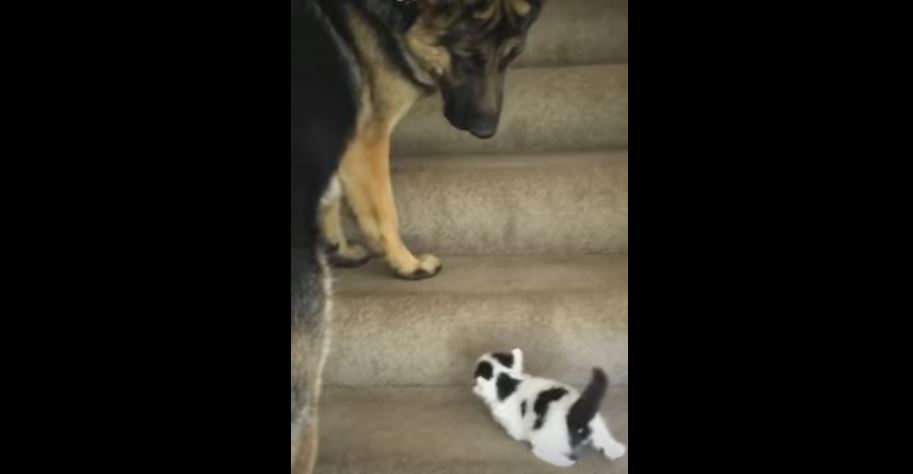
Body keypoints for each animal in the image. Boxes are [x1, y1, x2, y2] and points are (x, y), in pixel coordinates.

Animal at [290, 0, 540, 470]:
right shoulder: (368, 137)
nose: (486, 132)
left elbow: (332, 195)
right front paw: (407, 263)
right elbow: (381, 209)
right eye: (467, 57)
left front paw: (340, 246)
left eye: (511, 57)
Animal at [470, 348, 628, 466]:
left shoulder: (514, 426)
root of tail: (575, 415)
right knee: (603, 437)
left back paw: (562, 460)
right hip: (595, 420)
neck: (510, 383)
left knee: (549, 452)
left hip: (544, 438)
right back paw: (616, 450)